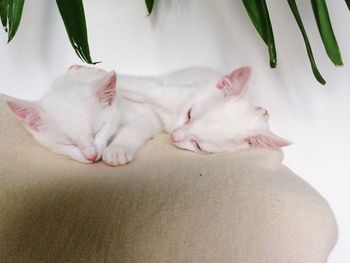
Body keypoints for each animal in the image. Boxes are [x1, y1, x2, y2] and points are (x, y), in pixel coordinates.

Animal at [4, 65, 290, 166]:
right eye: (189, 114)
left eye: (198, 145)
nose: (175, 136)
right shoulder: (160, 92)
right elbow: (127, 79)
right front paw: (84, 70)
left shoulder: (146, 116)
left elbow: (131, 129)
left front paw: (117, 151)